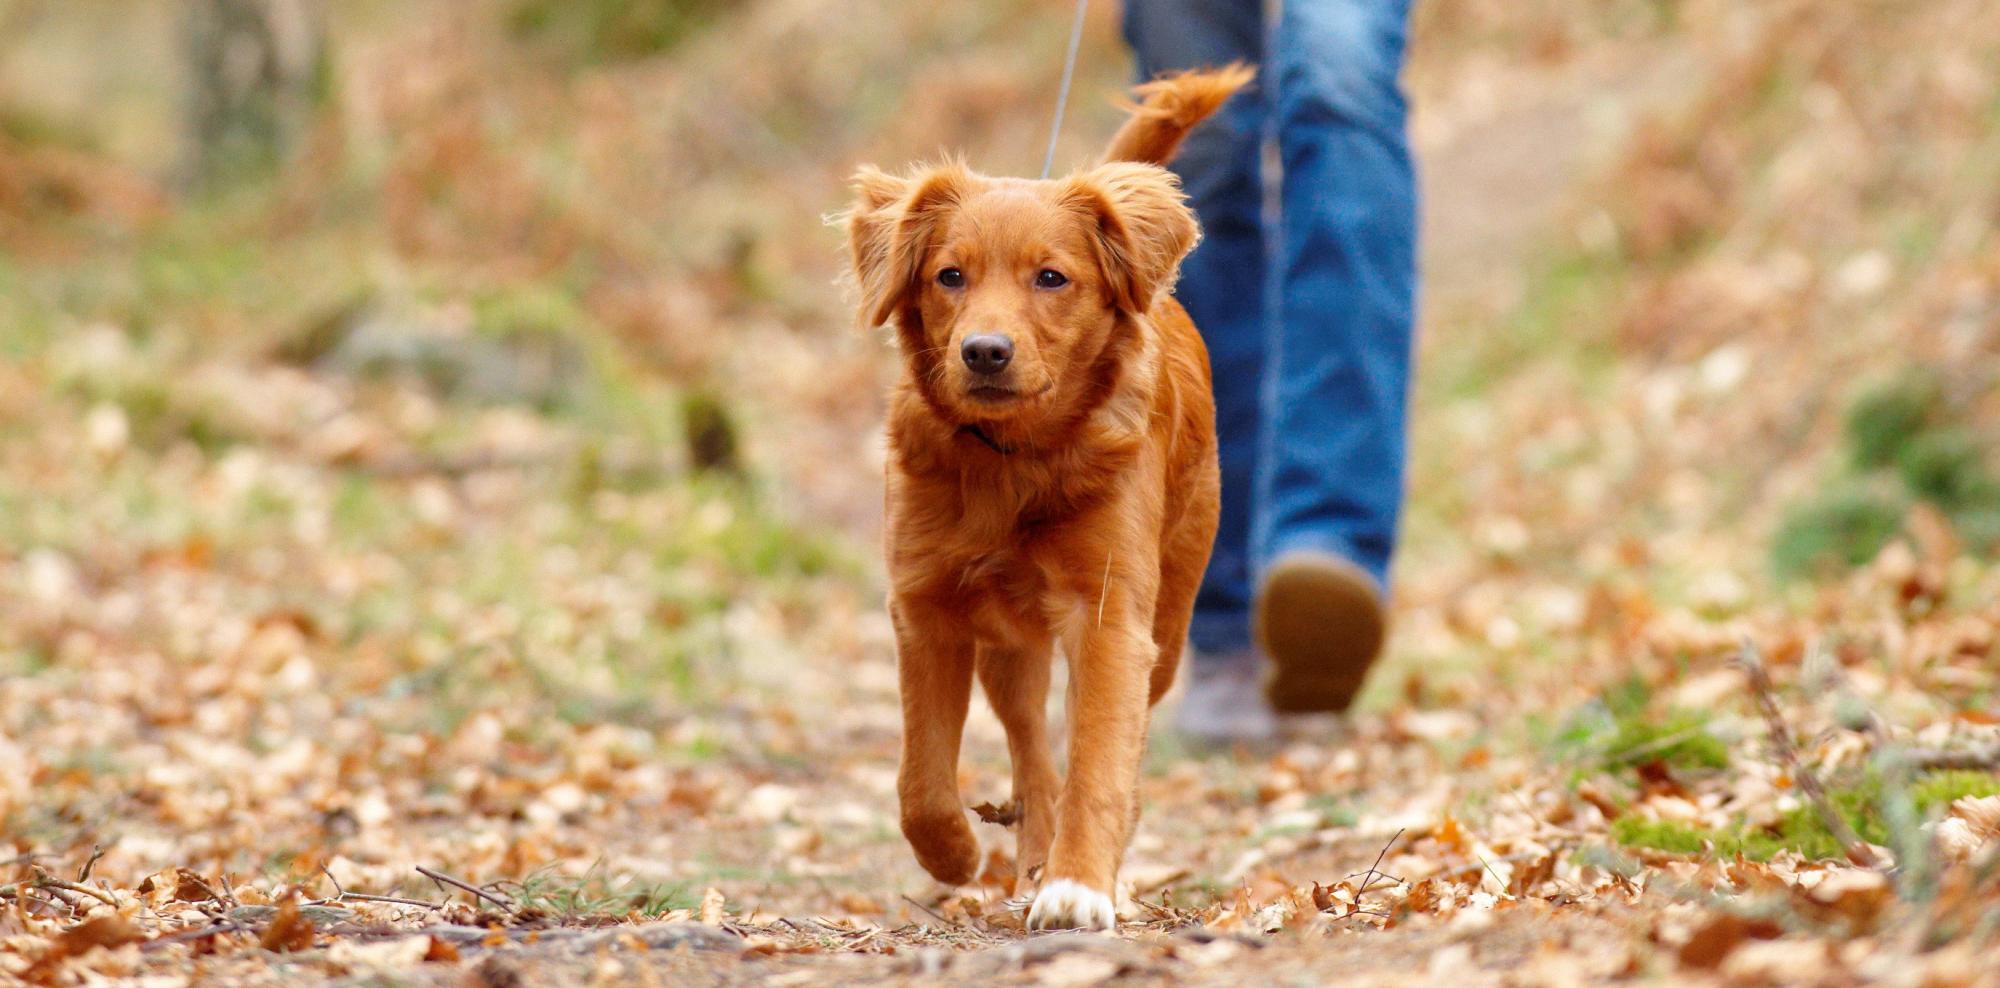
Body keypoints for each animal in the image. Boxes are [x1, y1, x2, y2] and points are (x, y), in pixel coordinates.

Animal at [840, 65, 1248, 932]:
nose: (985, 352)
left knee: (1112, 745)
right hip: (1008, 646)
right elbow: (920, 775)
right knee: (1030, 748)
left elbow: (1099, 759)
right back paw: (1026, 850)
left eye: (1052, 277)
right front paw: (953, 853)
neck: (1014, 460)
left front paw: (1080, 885)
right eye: (949, 275)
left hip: (1167, 618)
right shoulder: (923, 608)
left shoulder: (1111, 619)